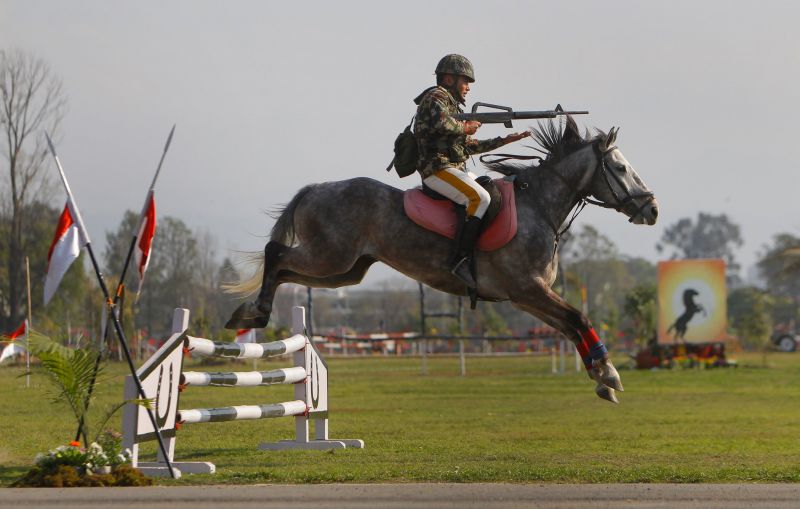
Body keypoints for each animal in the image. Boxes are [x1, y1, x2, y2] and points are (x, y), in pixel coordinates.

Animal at [225, 117, 656, 402]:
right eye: (620, 168)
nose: (651, 209)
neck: (538, 206)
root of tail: (315, 189)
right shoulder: (528, 289)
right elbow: (579, 319)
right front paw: (610, 373)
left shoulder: (525, 297)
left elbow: (570, 326)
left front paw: (601, 376)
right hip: (330, 257)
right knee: (276, 254)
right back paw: (255, 312)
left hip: (344, 272)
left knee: (284, 269)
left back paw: (249, 313)